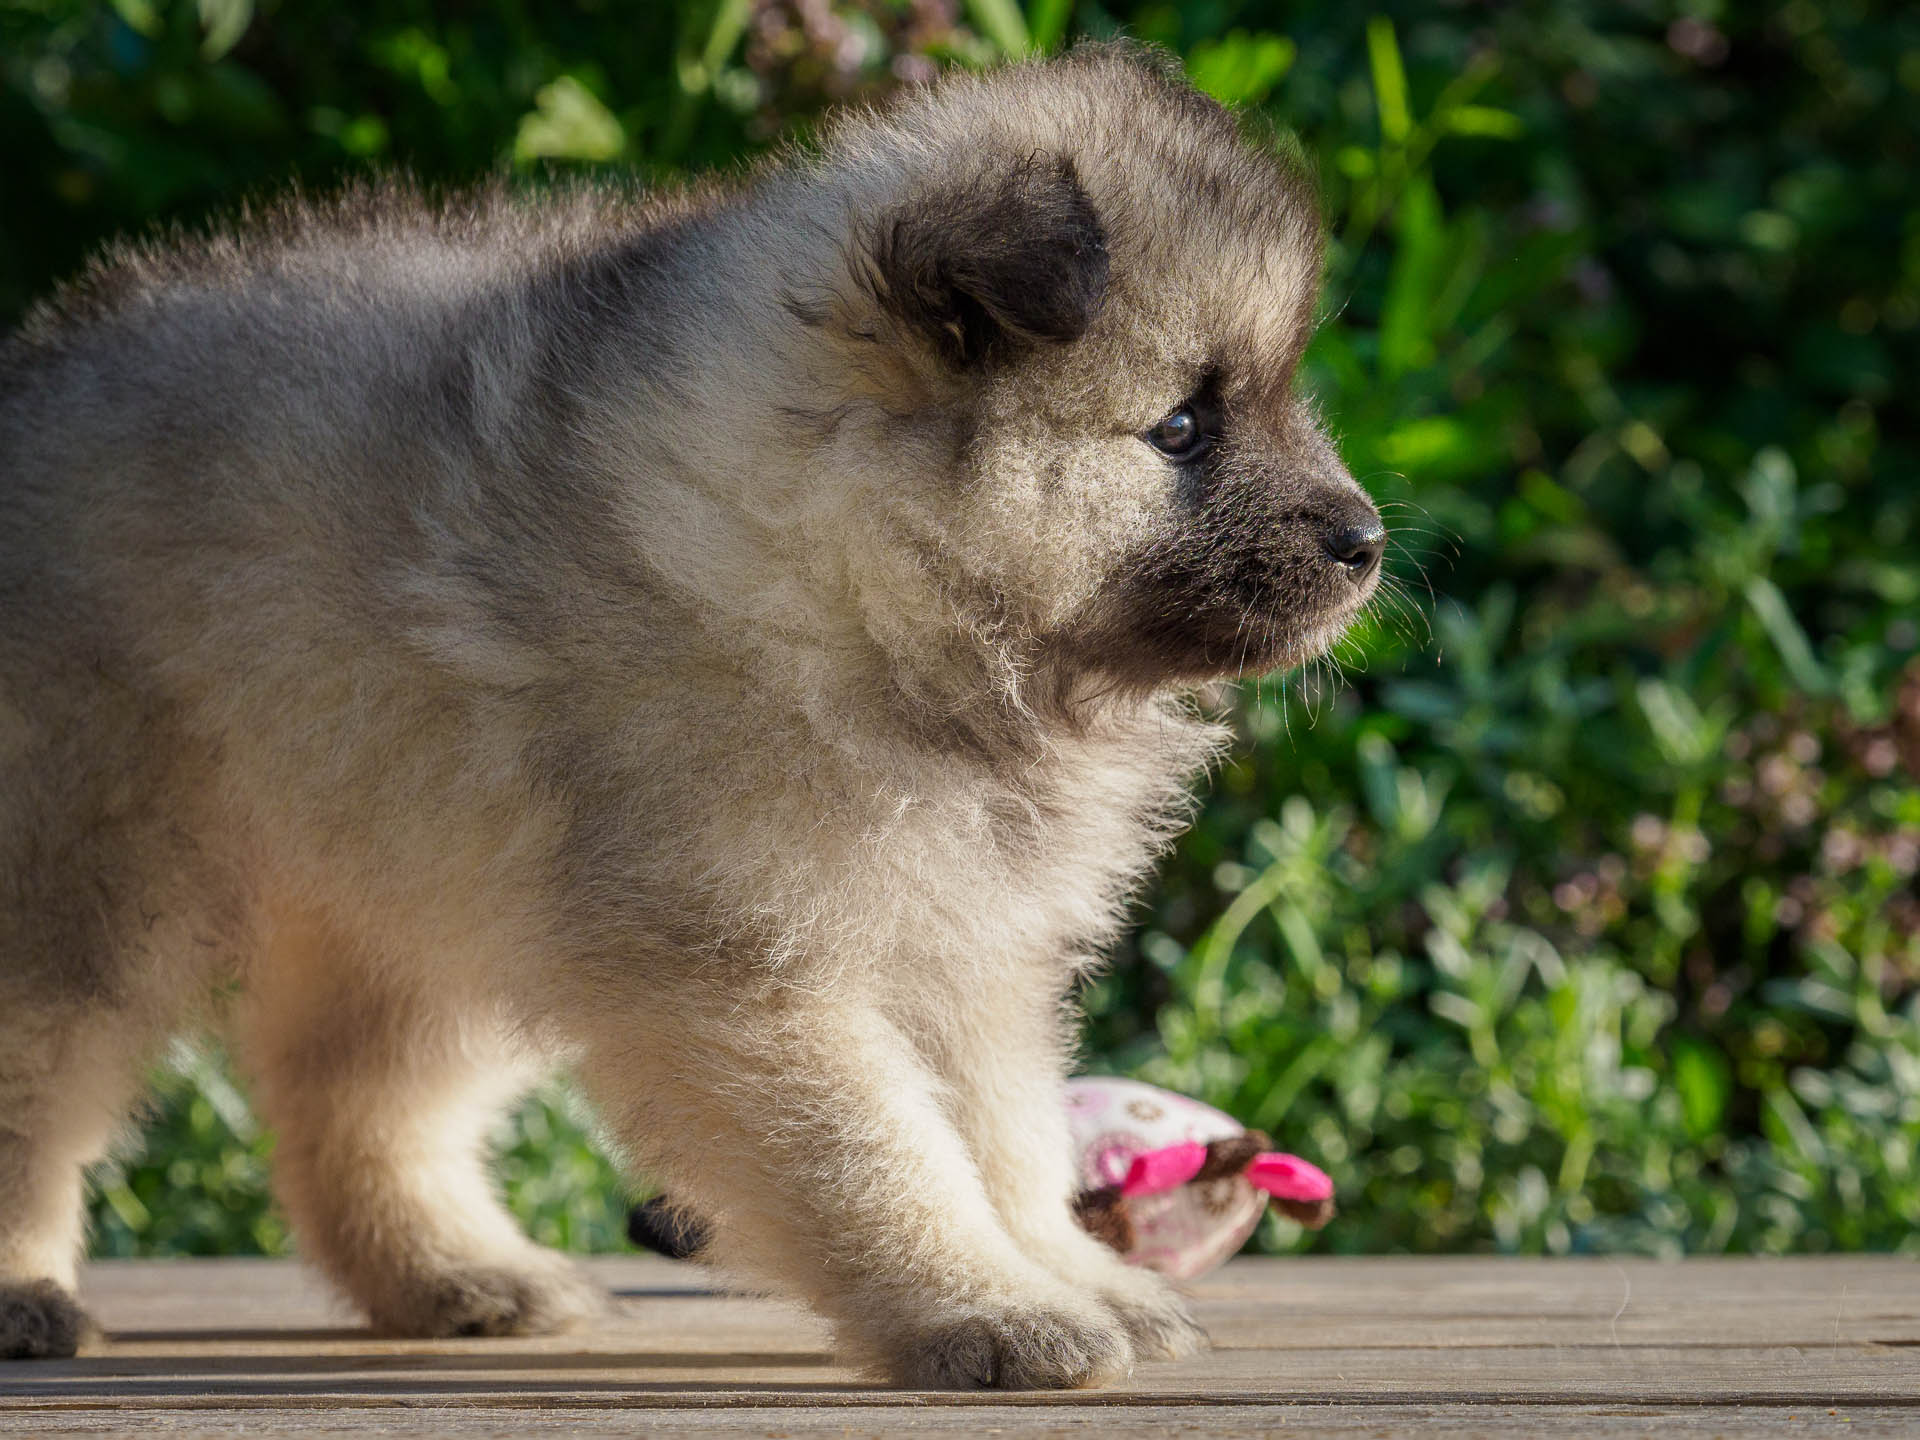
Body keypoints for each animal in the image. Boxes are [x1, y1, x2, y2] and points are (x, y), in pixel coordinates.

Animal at [0, 48, 1382, 1397]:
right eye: (1181, 427)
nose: (1367, 542)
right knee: (46, 1072)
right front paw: (984, 1304)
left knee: (350, 1096)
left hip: (426, 882)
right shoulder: (750, 961)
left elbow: (1004, 1132)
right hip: (94, 865)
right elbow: (881, 1145)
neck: (854, 566)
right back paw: (29, 1291)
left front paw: (1063, 1273)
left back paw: (457, 1272)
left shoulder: (968, 950)